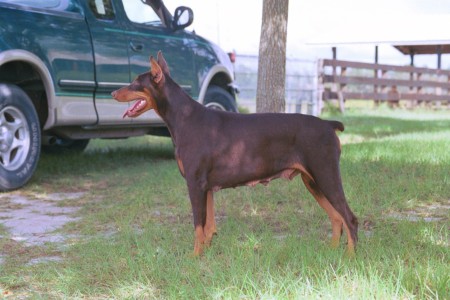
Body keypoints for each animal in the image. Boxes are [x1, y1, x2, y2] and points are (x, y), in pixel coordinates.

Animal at [112, 51, 358, 255]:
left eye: (135, 82)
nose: (113, 92)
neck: (184, 118)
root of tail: (328, 124)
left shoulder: (195, 183)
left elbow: (198, 226)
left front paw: (194, 258)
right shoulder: (207, 187)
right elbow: (208, 227)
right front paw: (205, 257)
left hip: (326, 174)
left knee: (350, 218)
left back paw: (349, 258)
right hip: (312, 181)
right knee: (337, 218)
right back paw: (332, 253)